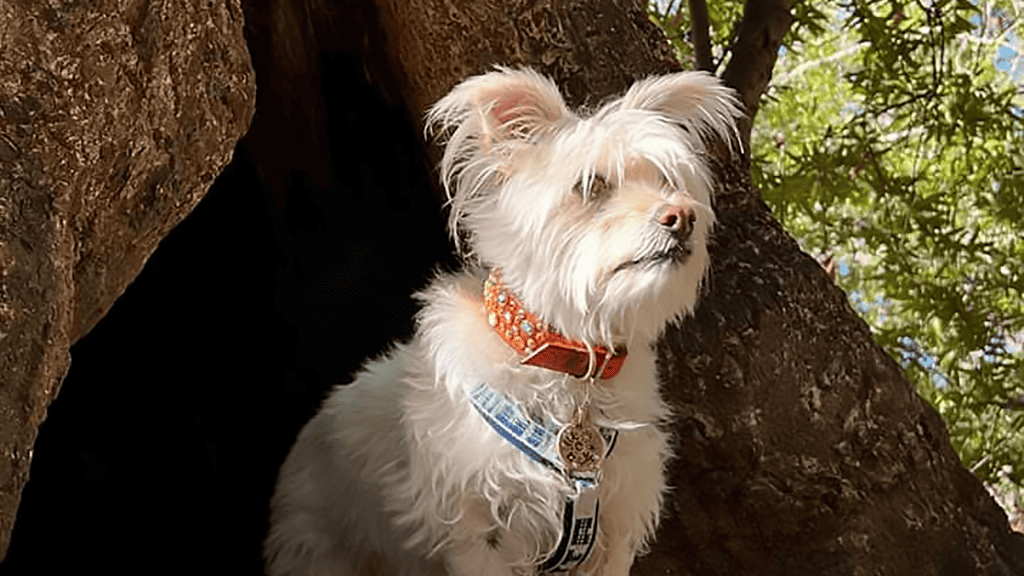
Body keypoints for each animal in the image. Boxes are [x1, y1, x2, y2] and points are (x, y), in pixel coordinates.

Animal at [264, 68, 741, 573]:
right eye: (591, 186)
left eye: (668, 181)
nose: (682, 216)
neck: (570, 363)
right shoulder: (479, 533)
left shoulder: (612, 528)